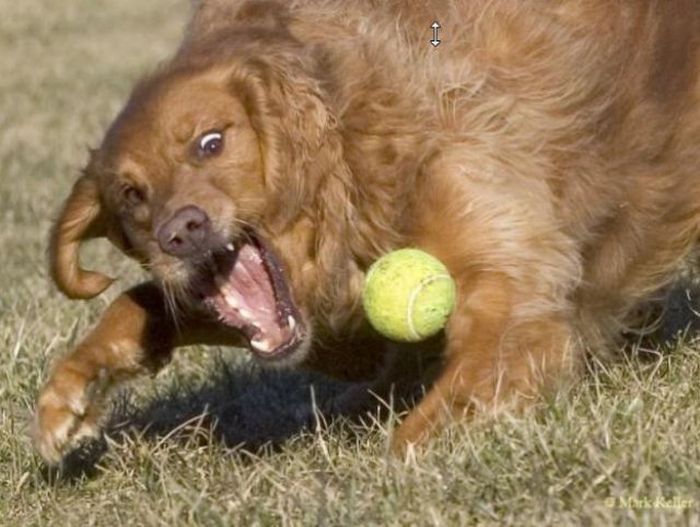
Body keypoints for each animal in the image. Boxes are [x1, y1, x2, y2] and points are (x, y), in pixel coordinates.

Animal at [32, 0, 700, 462]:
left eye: (210, 142)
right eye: (131, 194)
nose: (182, 231)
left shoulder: (513, 303)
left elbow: (423, 429)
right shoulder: (339, 328)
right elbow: (142, 301)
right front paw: (74, 389)